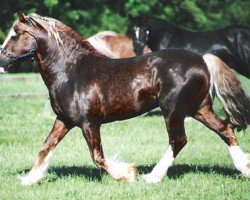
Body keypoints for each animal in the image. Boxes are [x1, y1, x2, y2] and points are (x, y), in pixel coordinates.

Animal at [0, 12, 250, 186]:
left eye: (15, 35)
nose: (1, 63)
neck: (72, 71)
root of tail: (202, 60)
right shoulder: (64, 120)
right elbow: (46, 147)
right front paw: (29, 179)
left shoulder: (89, 123)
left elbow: (98, 157)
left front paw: (128, 174)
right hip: (199, 108)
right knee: (225, 129)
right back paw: (245, 168)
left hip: (173, 111)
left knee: (178, 140)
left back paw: (153, 177)